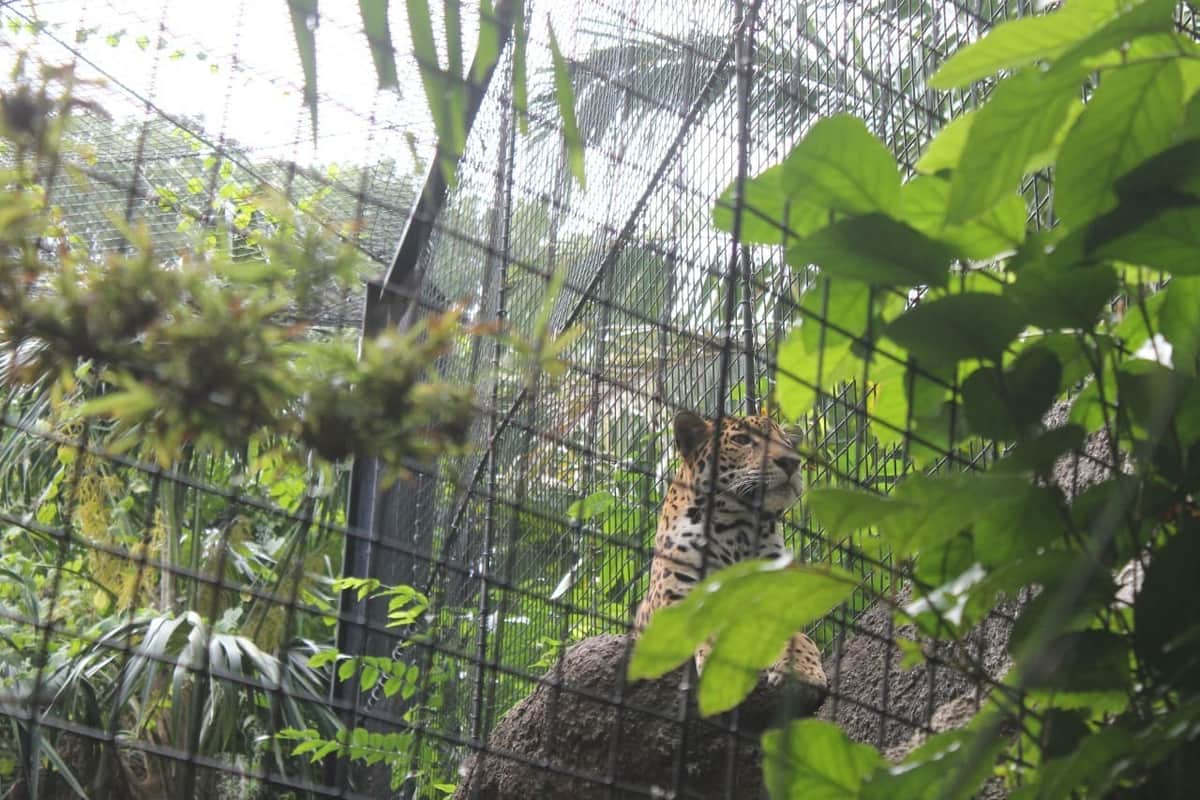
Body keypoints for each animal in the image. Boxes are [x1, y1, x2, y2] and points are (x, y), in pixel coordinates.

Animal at [633, 410, 827, 692]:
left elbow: (798, 637)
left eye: (787, 443)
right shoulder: (676, 601)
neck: (738, 529)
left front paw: (803, 670)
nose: (791, 462)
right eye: (742, 440)